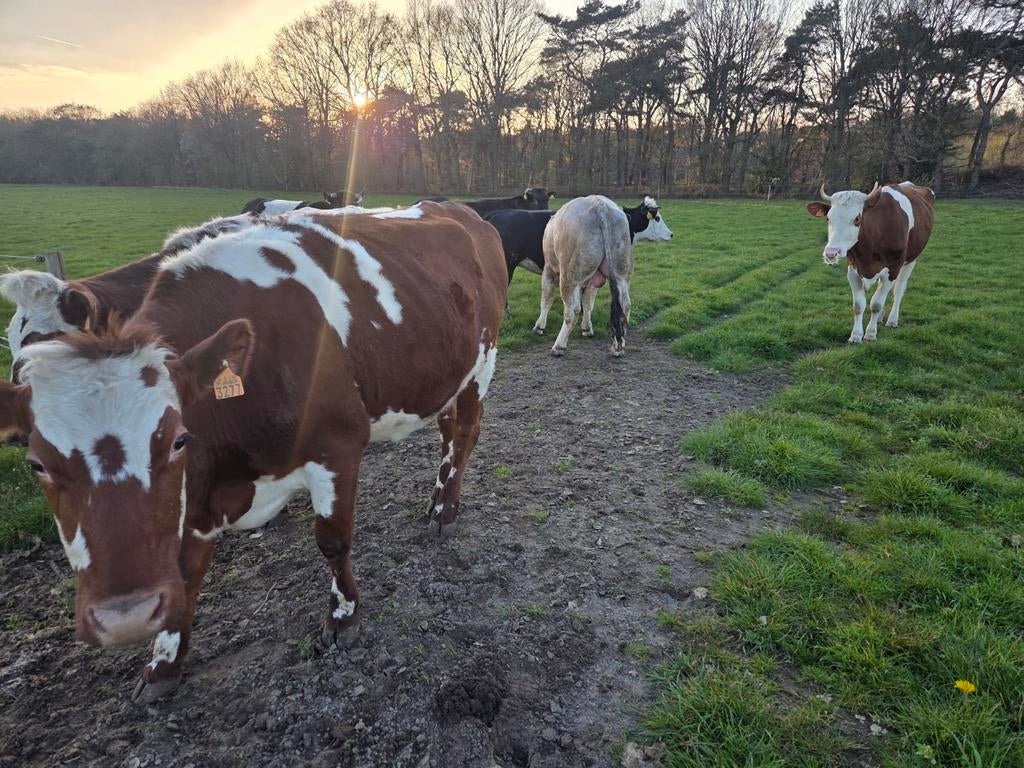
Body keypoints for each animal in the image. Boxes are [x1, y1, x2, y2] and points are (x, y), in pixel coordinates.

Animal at [0, 202, 506, 702]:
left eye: (176, 438)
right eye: (37, 463)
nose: (125, 615)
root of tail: (458, 209)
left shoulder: (338, 444)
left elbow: (333, 540)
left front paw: (343, 618)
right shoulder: (193, 495)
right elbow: (183, 570)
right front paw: (164, 662)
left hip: (482, 360)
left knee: (465, 432)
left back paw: (443, 511)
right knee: (446, 429)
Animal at [531, 195, 632, 357]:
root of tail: (600, 205)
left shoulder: (549, 270)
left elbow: (546, 300)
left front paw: (539, 326)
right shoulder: (590, 281)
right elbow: (587, 303)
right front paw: (587, 328)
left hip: (569, 275)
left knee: (572, 311)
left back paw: (559, 346)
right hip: (620, 272)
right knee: (625, 304)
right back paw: (619, 345)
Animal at [806, 181, 934, 343]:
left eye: (857, 219)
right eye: (828, 218)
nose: (831, 252)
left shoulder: (893, 269)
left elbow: (876, 304)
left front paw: (871, 333)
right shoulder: (853, 270)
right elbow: (858, 305)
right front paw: (856, 335)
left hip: (910, 260)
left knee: (898, 289)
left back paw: (892, 320)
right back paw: (880, 318)